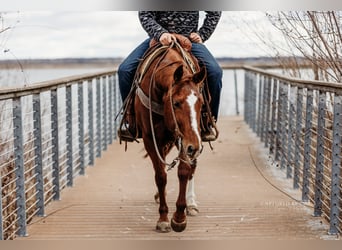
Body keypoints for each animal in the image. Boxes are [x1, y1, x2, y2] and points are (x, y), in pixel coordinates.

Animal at [134, 38, 206, 232]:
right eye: (176, 103)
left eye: (201, 103)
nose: (195, 147)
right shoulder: (150, 139)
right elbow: (160, 176)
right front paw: (163, 218)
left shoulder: (184, 140)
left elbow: (184, 171)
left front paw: (179, 217)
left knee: (193, 168)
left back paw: (191, 204)